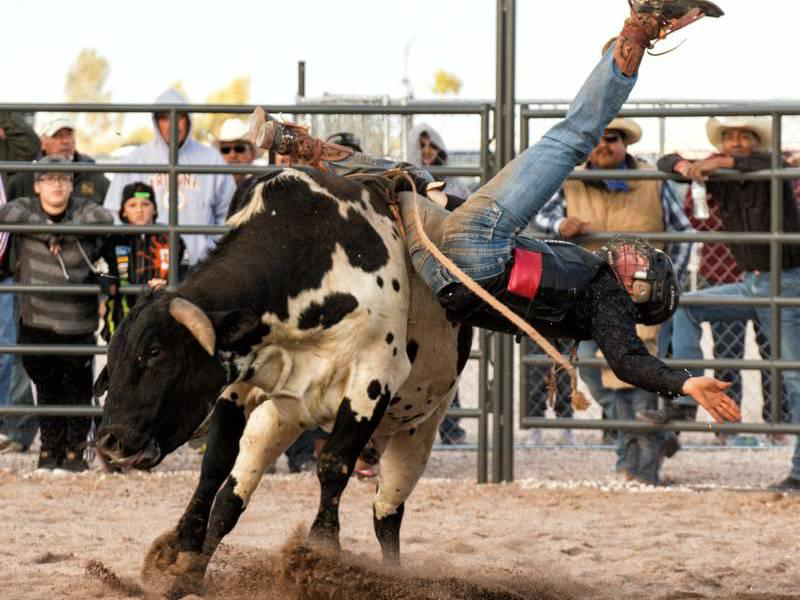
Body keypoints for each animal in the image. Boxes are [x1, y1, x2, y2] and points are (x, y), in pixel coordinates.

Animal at [93, 168, 473, 597]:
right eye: (112, 357)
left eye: (157, 351)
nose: (110, 441)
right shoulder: (239, 383)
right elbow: (216, 464)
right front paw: (185, 555)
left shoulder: (372, 380)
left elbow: (332, 464)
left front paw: (321, 556)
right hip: (280, 418)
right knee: (233, 497)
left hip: (416, 430)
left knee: (387, 514)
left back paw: (393, 577)